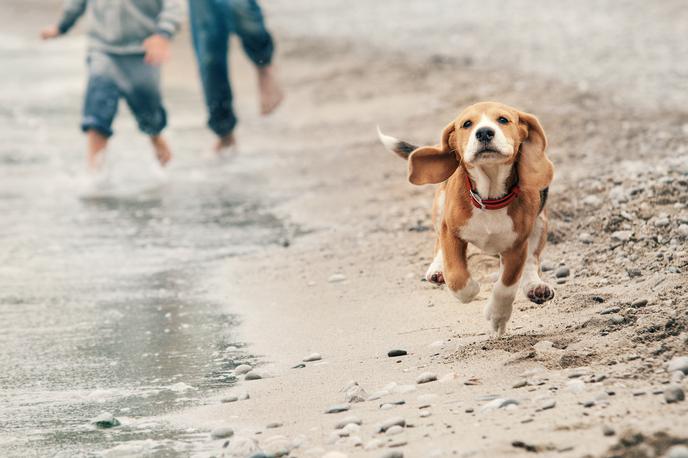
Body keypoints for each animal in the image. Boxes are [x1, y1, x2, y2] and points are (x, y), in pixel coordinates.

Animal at [378, 102, 556, 334]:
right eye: (467, 124)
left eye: (503, 120)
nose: (484, 132)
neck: (489, 197)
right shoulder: (451, 232)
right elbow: (456, 275)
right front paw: (469, 290)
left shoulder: (516, 245)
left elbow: (506, 284)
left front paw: (498, 317)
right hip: (440, 207)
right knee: (438, 244)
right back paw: (437, 270)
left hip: (540, 223)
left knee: (532, 260)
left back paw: (536, 286)